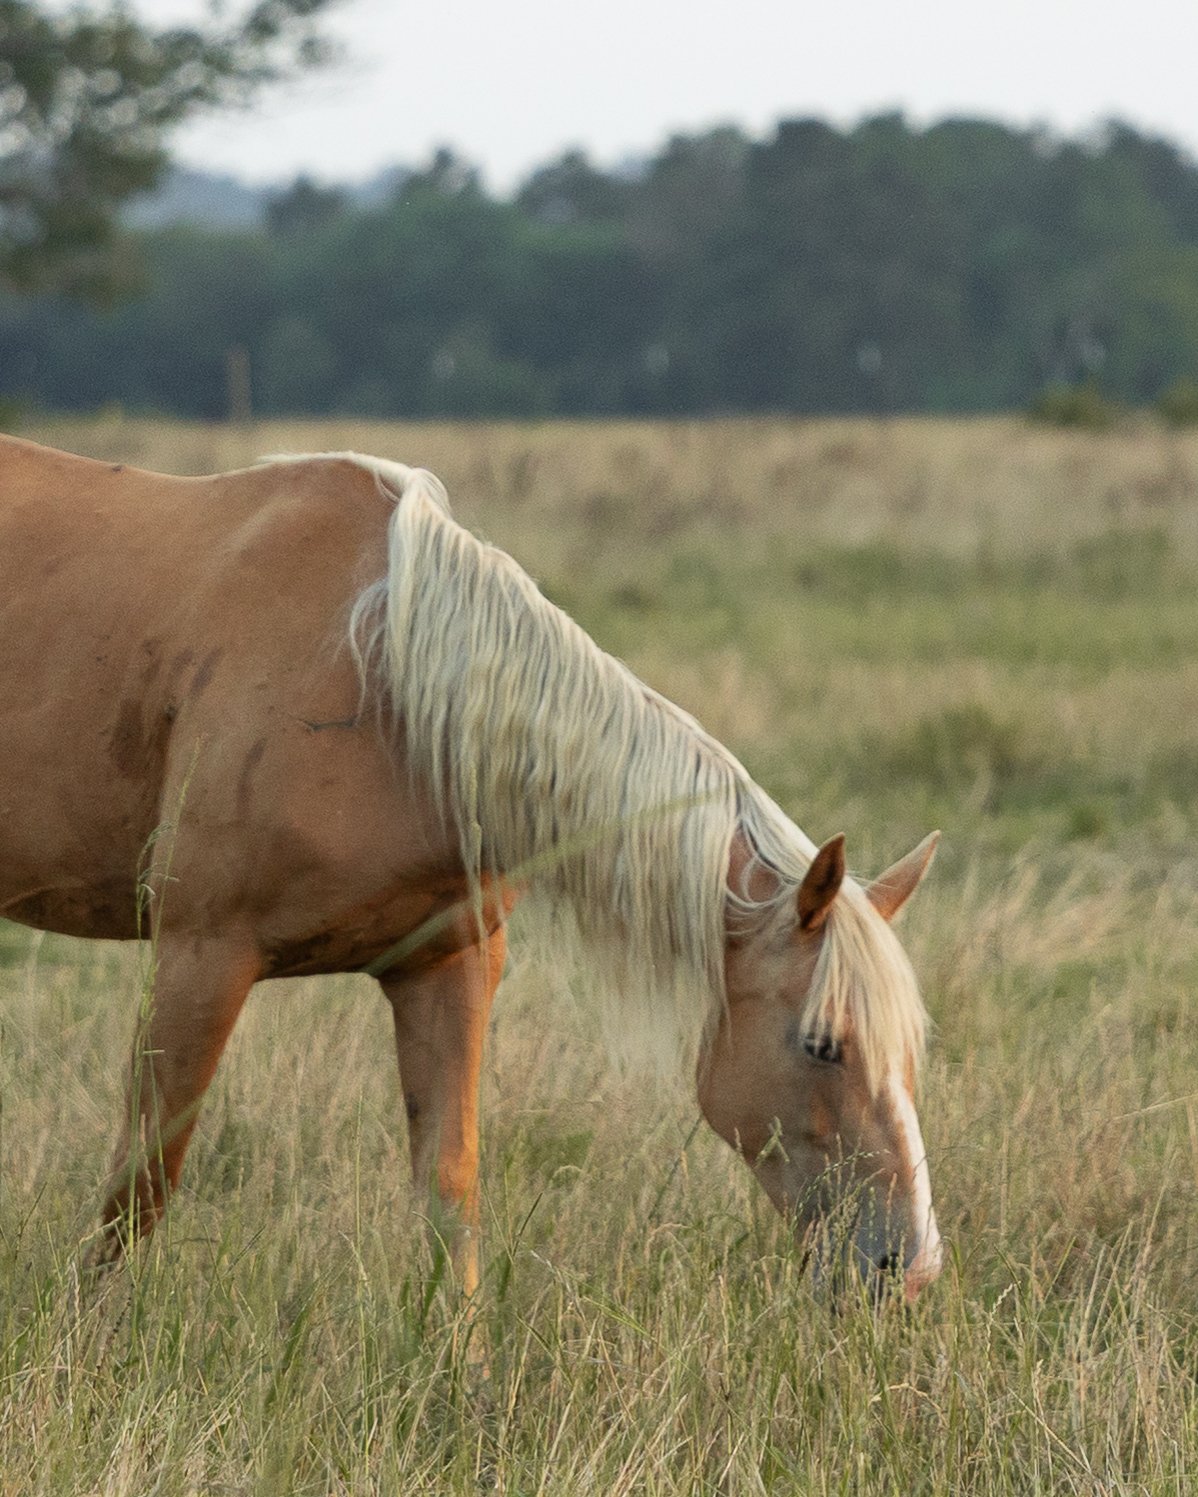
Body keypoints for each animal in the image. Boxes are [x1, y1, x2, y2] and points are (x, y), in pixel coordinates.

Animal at [0, 434, 941, 1300]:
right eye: (822, 1043)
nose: (910, 1264)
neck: (388, 687)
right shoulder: (200, 954)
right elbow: (143, 1182)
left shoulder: (445, 968)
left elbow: (451, 1197)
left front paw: (461, 1373)